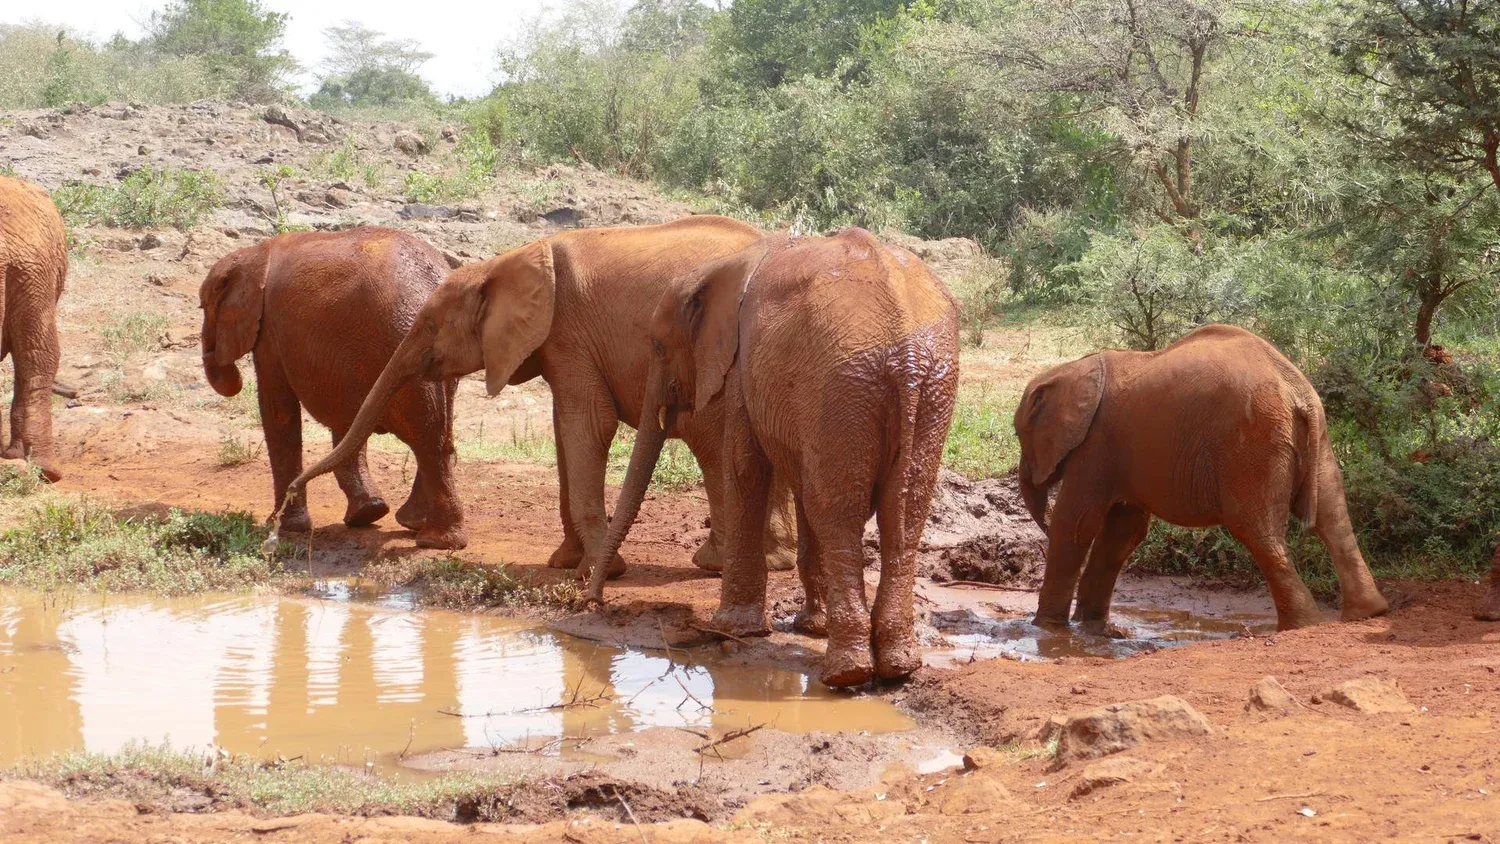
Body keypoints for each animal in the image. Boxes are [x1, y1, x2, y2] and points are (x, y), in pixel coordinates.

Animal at [199, 227, 466, 548]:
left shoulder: (269, 335)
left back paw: (436, 541)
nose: (230, 375)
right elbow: (347, 420)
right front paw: (367, 514)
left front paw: (283, 526)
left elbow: (279, 412)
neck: (252, 254)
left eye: (203, 307)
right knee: (437, 430)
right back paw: (416, 526)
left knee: (426, 437)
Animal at [282, 216, 796, 576]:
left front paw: (601, 571)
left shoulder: (569, 329)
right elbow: (564, 431)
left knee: (709, 443)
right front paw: (565, 563)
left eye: (428, 324)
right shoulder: (559, 340)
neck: (502, 263)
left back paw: (714, 564)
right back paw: (774, 563)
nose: (287, 496)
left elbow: (587, 424)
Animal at [579, 228, 960, 688]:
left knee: (839, 513)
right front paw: (810, 627)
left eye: (657, 345)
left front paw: (731, 629)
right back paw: (897, 667)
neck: (724, 265)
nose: (593, 603)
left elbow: (745, 468)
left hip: (843, 388)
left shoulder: (744, 367)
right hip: (928, 390)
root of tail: (906, 356)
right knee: (902, 515)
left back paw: (845, 675)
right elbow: (799, 483)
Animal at [1013, 323, 1390, 632]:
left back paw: (1302, 626)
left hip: (1251, 444)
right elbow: (1123, 532)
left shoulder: (1094, 445)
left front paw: (1047, 629)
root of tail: (1296, 389)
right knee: (1332, 513)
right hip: (1314, 437)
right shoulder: (1118, 452)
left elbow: (1076, 526)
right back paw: (1367, 612)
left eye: (1018, 435)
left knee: (1256, 529)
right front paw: (1093, 629)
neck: (1072, 369)